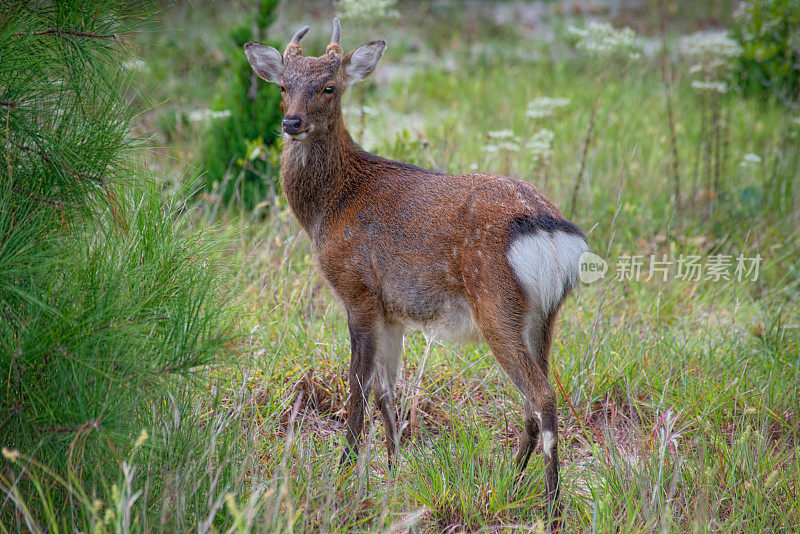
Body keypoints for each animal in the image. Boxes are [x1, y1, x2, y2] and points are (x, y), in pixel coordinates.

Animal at [244, 19, 588, 528]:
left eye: (329, 87)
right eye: (283, 87)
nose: (292, 123)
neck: (330, 207)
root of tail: (554, 234)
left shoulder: (358, 291)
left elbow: (358, 392)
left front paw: (343, 477)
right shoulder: (393, 312)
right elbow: (388, 394)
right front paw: (393, 474)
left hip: (497, 305)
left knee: (542, 396)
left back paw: (552, 509)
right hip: (544, 317)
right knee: (532, 400)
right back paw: (507, 486)